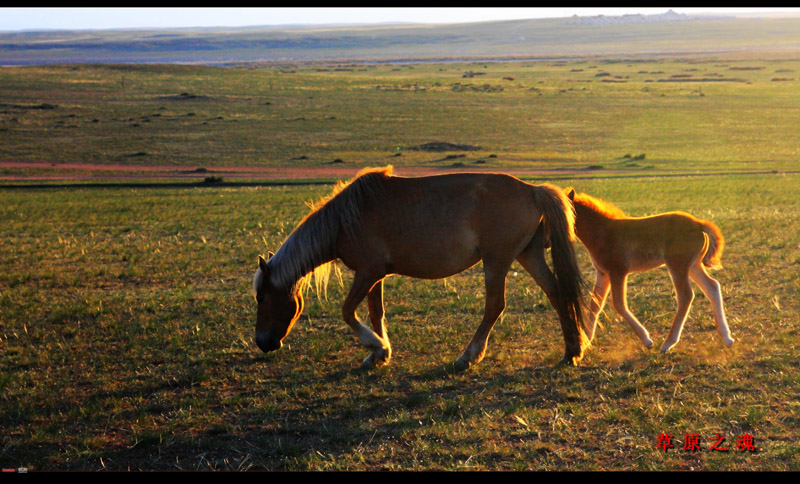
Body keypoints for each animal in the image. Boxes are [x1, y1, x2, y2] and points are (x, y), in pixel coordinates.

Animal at [253, 166, 592, 370]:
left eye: (262, 297)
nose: (262, 342)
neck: (343, 221)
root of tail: (532, 190)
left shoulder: (367, 273)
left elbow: (348, 311)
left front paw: (375, 344)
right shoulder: (376, 276)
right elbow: (375, 311)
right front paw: (379, 354)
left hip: (497, 261)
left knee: (495, 306)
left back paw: (468, 356)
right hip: (528, 255)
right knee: (557, 293)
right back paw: (572, 351)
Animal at [564, 187, 736, 354]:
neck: (602, 232)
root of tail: (698, 223)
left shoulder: (618, 271)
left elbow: (618, 304)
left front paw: (647, 340)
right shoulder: (603, 273)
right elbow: (595, 304)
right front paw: (585, 343)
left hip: (677, 265)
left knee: (686, 296)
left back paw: (668, 344)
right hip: (693, 265)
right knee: (712, 287)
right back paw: (727, 338)